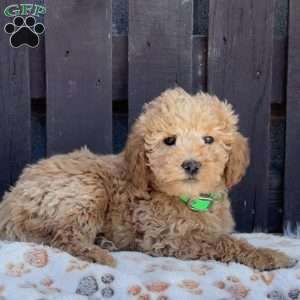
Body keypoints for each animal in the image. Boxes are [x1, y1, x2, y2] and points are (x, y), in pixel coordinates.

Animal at [0, 87, 296, 270]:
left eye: (209, 139)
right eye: (169, 141)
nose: (191, 164)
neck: (190, 200)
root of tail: (11, 198)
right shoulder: (170, 237)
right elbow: (224, 242)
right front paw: (271, 256)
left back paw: (103, 242)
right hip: (85, 188)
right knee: (62, 238)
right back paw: (98, 254)